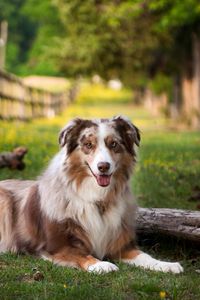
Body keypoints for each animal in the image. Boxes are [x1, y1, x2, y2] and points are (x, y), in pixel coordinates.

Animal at [0, 116, 183, 274]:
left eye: (114, 144)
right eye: (88, 144)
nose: (104, 166)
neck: (98, 198)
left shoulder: (120, 245)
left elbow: (145, 256)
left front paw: (166, 264)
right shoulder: (57, 247)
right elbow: (81, 255)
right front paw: (101, 264)